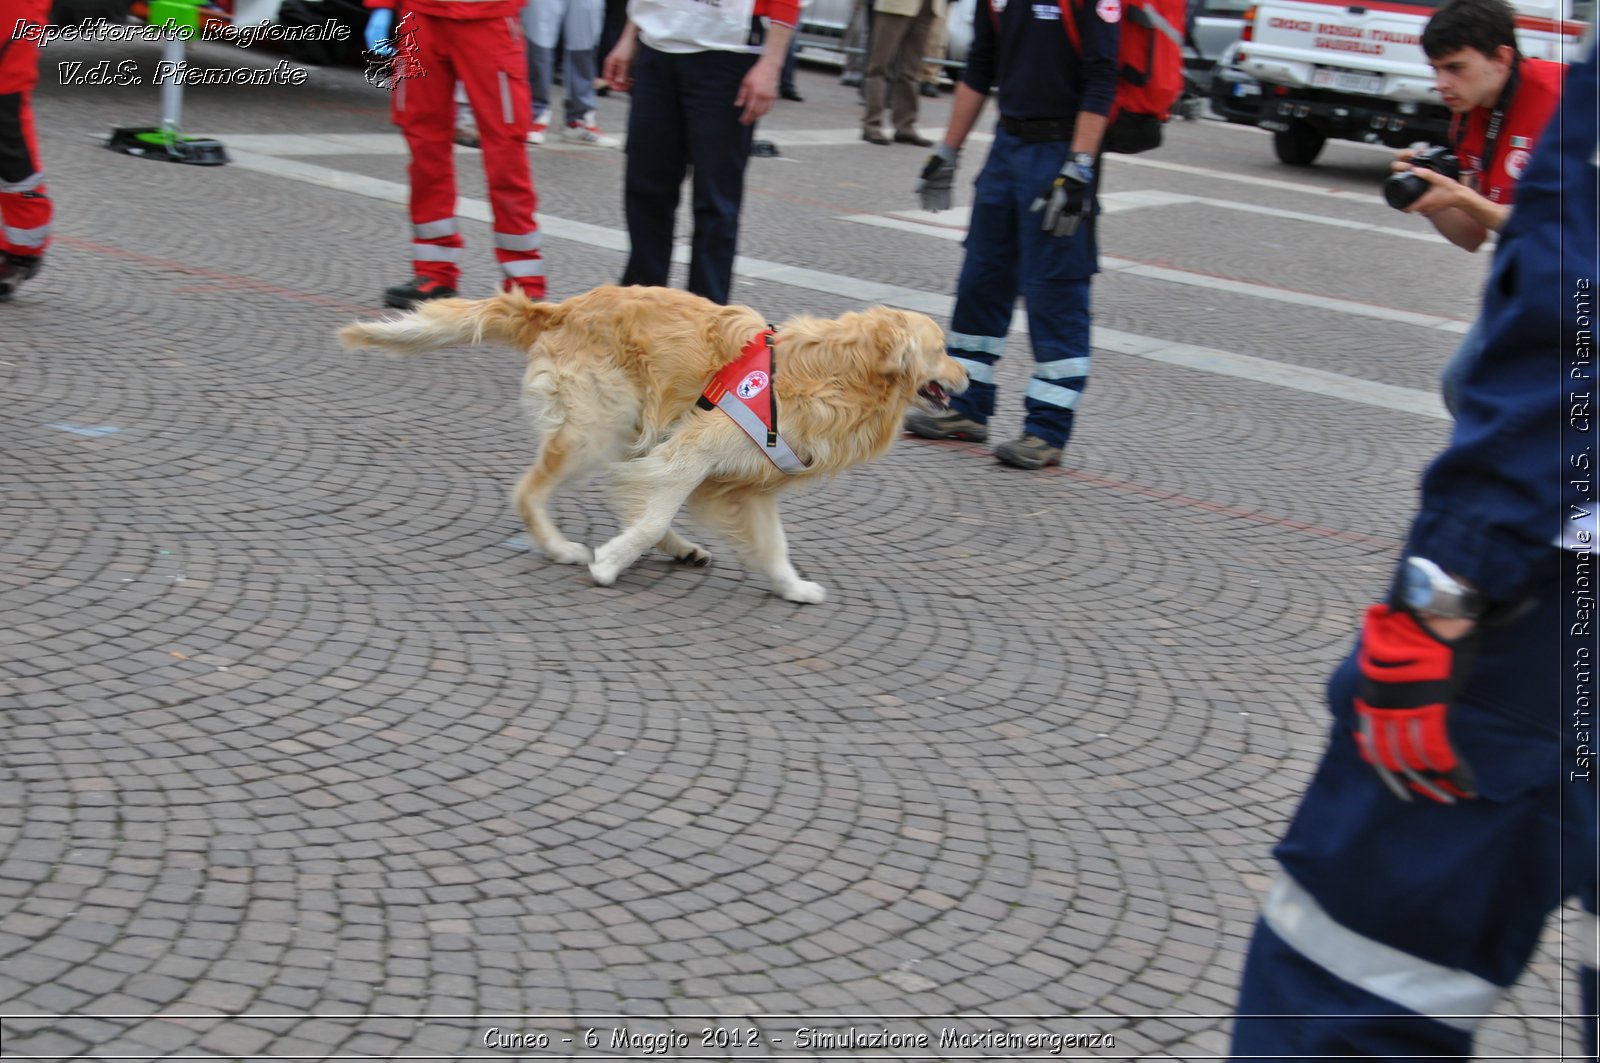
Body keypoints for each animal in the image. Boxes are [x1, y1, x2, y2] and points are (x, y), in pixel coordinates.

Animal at [337, 284, 960, 598]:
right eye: (942, 349)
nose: (969, 376)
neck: (838, 374)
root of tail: (562, 309)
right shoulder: (695, 449)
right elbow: (654, 510)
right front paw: (610, 563)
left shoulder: (747, 487)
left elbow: (772, 547)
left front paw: (793, 588)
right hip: (596, 426)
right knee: (529, 492)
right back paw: (562, 547)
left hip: (630, 425)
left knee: (618, 488)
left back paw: (678, 548)